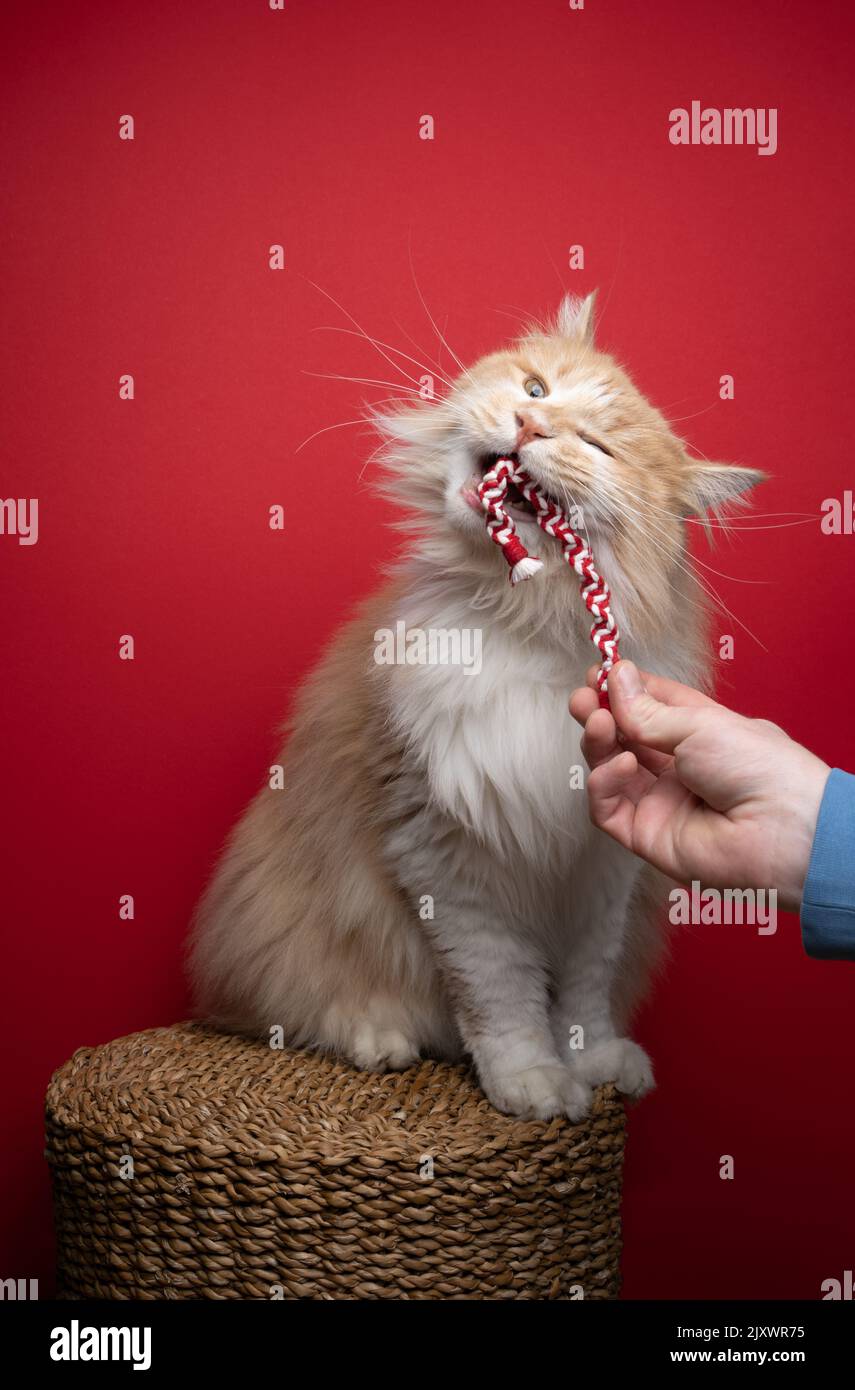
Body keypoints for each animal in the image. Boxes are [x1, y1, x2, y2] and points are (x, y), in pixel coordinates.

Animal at [189, 293, 761, 1117]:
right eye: (535, 390)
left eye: (596, 447)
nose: (529, 426)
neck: (519, 622)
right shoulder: (446, 857)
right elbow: (501, 995)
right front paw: (531, 1082)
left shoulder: (601, 874)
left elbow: (583, 994)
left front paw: (594, 1065)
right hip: (286, 917)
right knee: (304, 1005)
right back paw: (378, 1039)